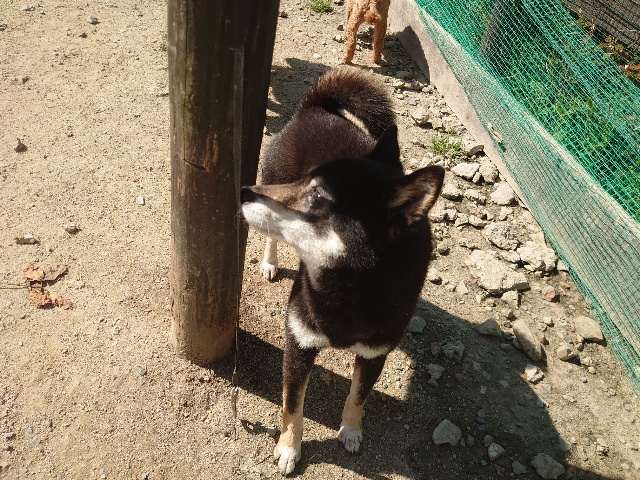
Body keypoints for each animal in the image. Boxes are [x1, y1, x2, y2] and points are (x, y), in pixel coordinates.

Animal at [241, 66, 444, 476]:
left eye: (317, 197)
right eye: (304, 184)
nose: (244, 191)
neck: (347, 290)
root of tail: (315, 107)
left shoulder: (375, 354)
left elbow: (358, 396)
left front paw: (351, 430)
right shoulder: (299, 343)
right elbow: (292, 407)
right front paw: (288, 448)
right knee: (270, 238)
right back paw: (270, 262)